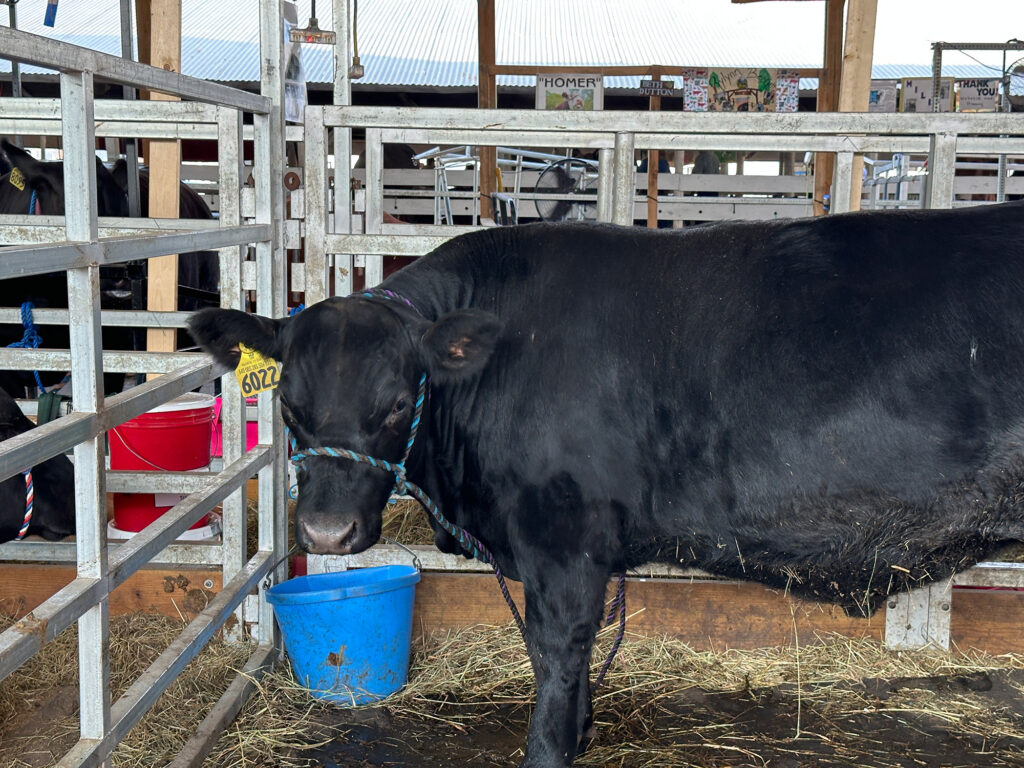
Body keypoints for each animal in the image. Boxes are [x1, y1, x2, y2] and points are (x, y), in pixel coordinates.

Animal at [188, 204, 1024, 768]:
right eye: (289, 402)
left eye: (396, 402)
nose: (324, 533)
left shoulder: (564, 542)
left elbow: (556, 653)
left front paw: (551, 747)